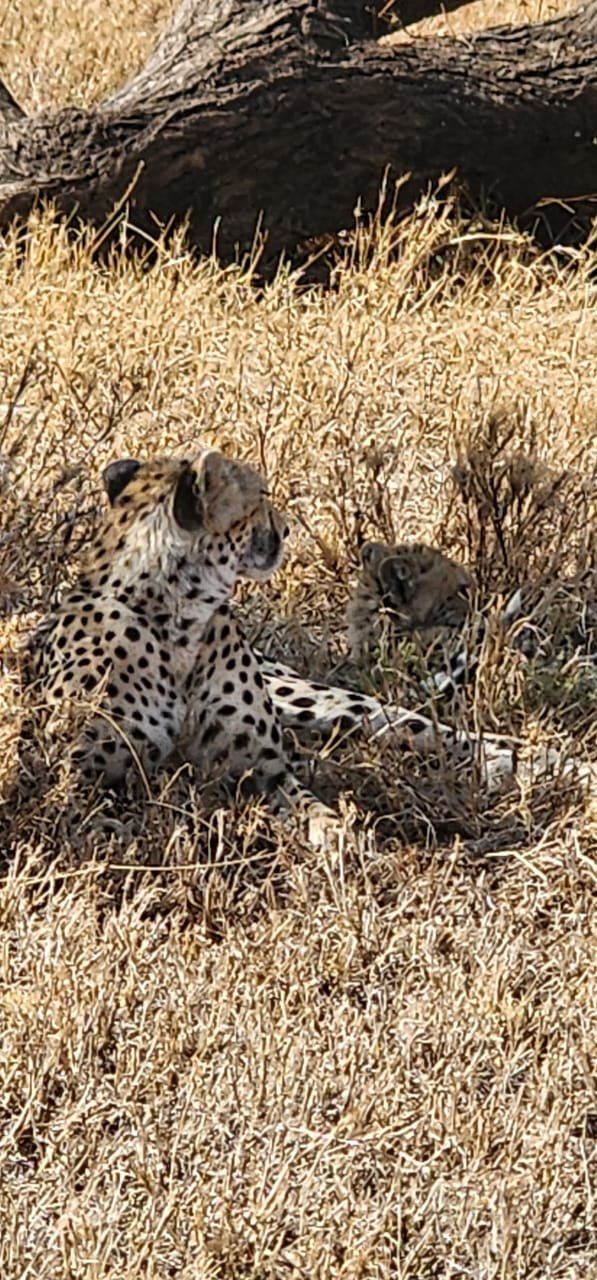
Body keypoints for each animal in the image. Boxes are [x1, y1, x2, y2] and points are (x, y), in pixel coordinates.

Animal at [23, 451, 595, 849]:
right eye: (259, 497)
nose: (286, 527)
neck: (179, 617)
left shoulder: (265, 768)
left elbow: (315, 809)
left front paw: (345, 842)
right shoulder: (79, 774)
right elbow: (93, 815)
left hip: (322, 703)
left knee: (432, 731)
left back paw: (552, 763)